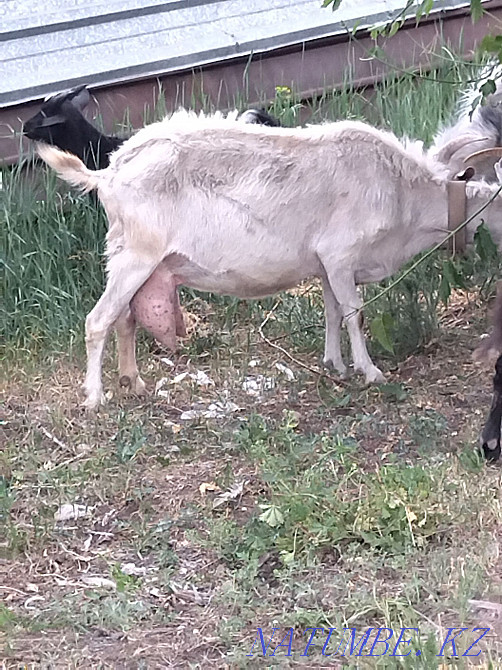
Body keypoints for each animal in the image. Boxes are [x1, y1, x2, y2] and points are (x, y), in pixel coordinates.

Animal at [36, 111, 502, 410]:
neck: (403, 193)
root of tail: (108, 174)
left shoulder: (328, 265)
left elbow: (333, 312)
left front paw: (334, 365)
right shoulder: (340, 254)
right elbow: (354, 313)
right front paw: (370, 372)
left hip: (137, 261)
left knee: (125, 318)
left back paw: (133, 383)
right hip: (135, 253)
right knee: (98, 320)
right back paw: (95, 398)